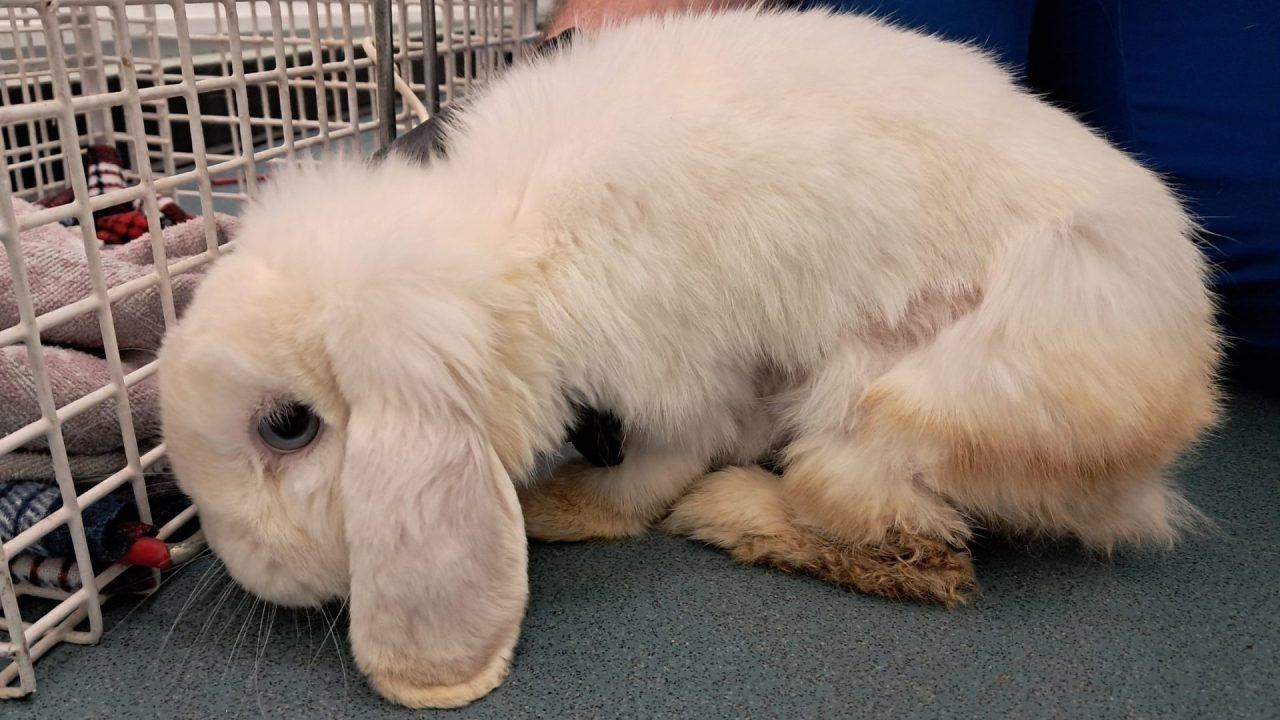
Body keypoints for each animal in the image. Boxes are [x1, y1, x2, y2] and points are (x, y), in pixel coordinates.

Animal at [158, 9, 1221, 709]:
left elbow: (659, 466)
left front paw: (569, 510)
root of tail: (1159, 438)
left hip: (903, 394)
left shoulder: (676, 373)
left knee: (891, 531)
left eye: (288, 426)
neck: (509, 254)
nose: (248, 571)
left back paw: (732, 511)